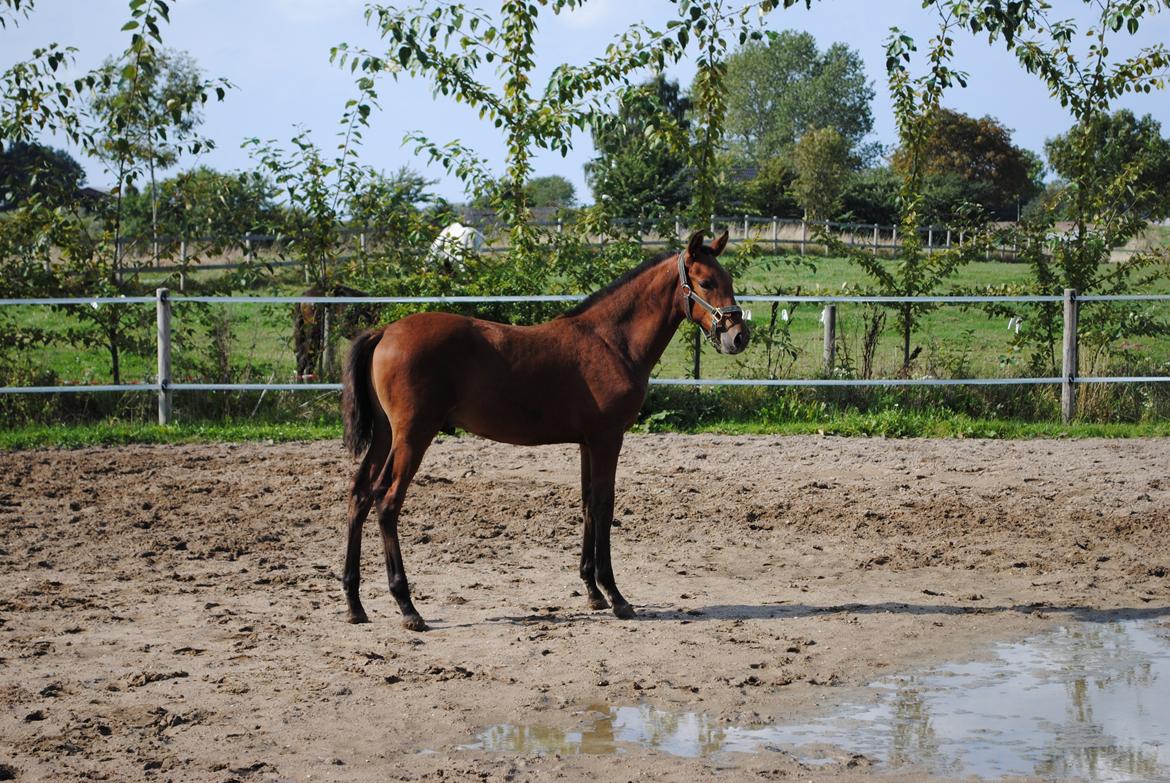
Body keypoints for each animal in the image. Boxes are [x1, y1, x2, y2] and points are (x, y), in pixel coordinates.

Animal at [339, 227, 748, 627]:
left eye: (728, 279)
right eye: (706, 282)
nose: (738, 336)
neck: (612, 341)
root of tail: (384, 332)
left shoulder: (587, 443)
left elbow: (587, 503)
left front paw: (593, 592)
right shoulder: (607, 439)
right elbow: (604, 505)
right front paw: (616, 597)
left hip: (386, 436)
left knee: (359, 494)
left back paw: (355, 604)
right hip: (413, 436)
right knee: (387, 501)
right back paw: (407, 607)